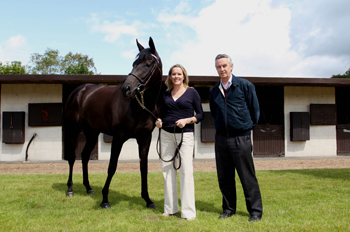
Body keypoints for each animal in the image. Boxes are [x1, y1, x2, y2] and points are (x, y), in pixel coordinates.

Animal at [64, 37, 163, 208]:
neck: (138, 107)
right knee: (72, 157)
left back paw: (88, 188)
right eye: (134, 63)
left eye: (148, 64)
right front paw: (105, 200)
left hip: (92, 133)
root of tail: (79, 90)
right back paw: (70, 189)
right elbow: (112, 166)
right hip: (74, 130)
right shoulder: (118, 137)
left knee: (84, 156)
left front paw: (148, 200)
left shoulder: (145, 138)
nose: (126, 88)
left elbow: (143, 167)